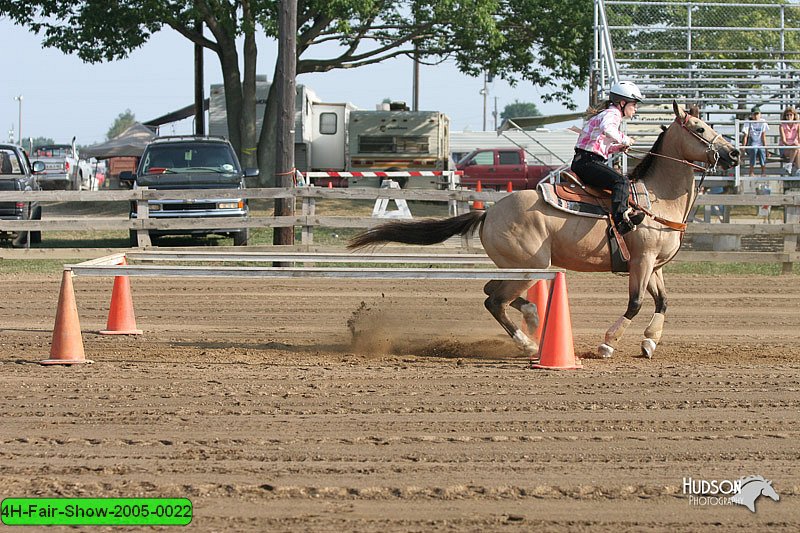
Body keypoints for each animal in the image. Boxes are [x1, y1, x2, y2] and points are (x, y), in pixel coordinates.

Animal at [350, 102, 744, 360]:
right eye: (700, 129)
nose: (735, 153)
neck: (655, 199)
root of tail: (489, 212)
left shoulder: (654, 265)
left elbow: (662, 302)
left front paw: (649, 342)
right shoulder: (642, 261)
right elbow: (635, 303)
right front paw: (607, 343)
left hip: (519, 267)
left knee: (494, 292)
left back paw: (532, 317)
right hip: (530, 265)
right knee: (494, 300)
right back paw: (528, 343)